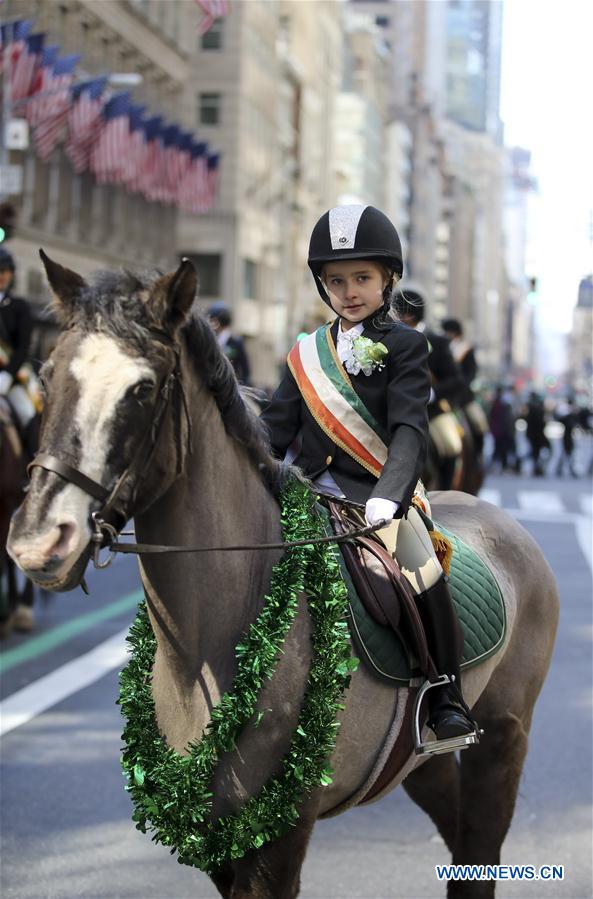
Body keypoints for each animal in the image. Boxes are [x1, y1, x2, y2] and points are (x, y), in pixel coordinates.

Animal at [6, 255, 556, 899]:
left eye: (141, 389)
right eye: (47, 377)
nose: (39, 542)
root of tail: (503, 520)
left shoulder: (282, 832)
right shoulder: (216, 837)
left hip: (504, 735)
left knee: (482, 842)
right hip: (422, 761)